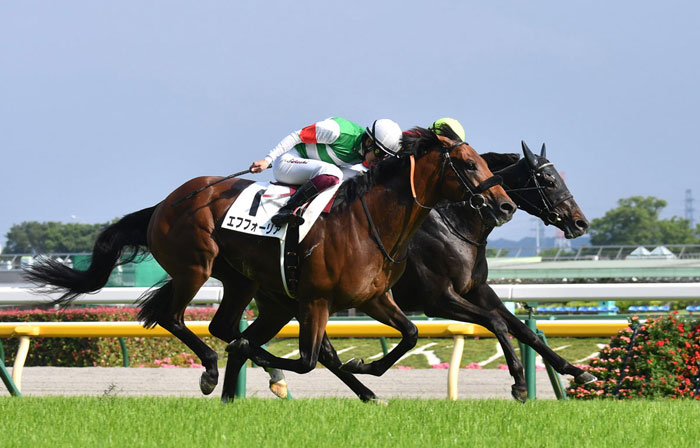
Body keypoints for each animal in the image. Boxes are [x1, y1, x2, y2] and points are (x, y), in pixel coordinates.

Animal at [24, 127, 516, 402]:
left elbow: (409, 334)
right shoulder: (316, 300)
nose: (505, 205)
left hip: (246, 284)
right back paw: (212, 370)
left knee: (223, 325)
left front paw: (366, 370)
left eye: (482, 161)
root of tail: (166, 203)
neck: (369, 220)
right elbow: (310, 359)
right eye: (468, 163)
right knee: (174, 317)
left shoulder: (373, 297)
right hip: (195, 267)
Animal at [232, 141, 596, 403]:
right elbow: (495, 323)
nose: (580, 223)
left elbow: (522, 329)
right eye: (548, 180)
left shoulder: (477, 289)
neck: (456, 223)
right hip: (303, 300)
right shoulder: (437, 298)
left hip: (288, 302)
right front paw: (519, 383)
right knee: (317, 352)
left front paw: (577, 372)